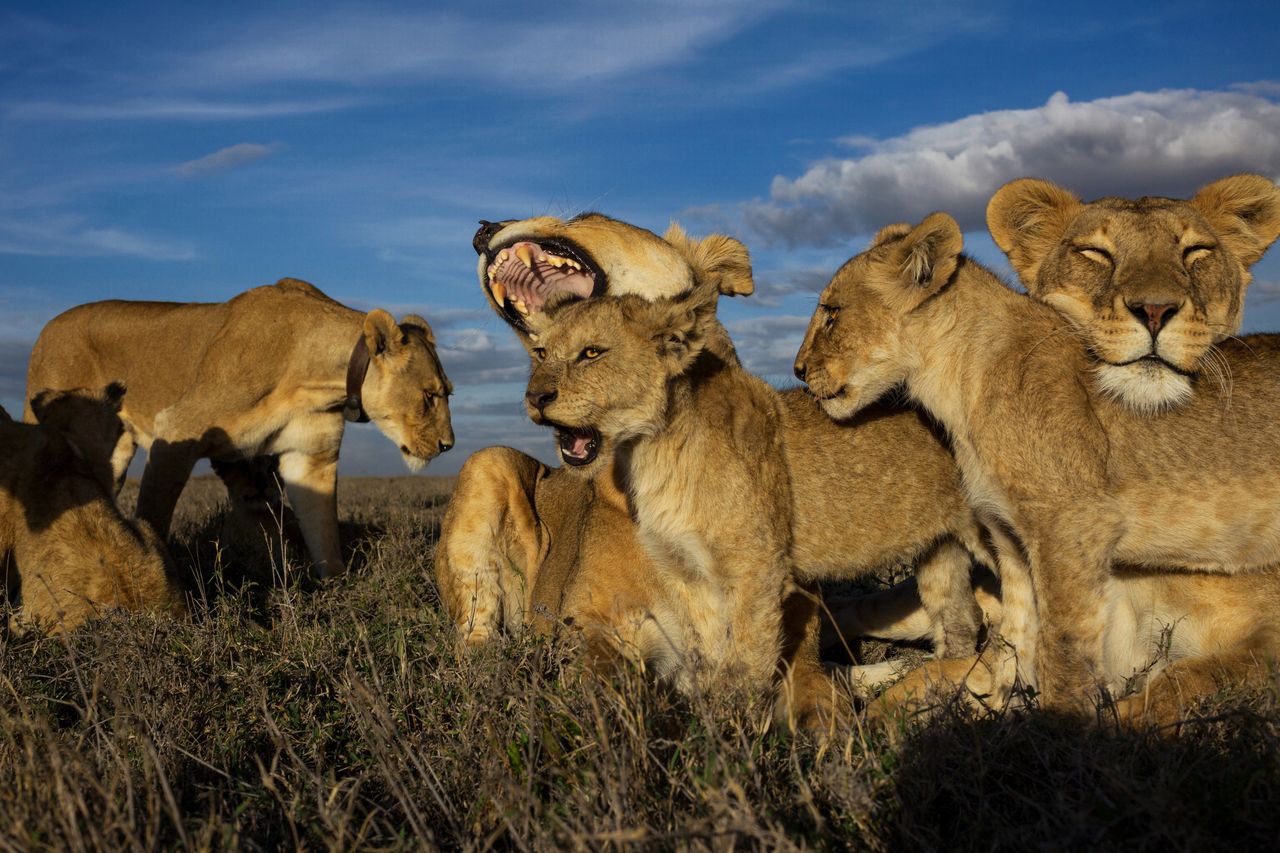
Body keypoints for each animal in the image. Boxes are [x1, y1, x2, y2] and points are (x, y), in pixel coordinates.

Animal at [24, 279, 458, 578]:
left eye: (447, 393)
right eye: (430, 396)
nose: (448, 445)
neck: (315, 378)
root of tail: (46, 328)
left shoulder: (310, 457)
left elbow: (323, 532)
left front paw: (337, 590)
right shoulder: (175, 431)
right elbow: (154, 515)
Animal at [793, 211, 1280, 712]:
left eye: (831, 313)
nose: (798, 369)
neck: (956, 383)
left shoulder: (1074, 527)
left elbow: (1065, 648)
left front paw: (1061, 722)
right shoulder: (1008, 535)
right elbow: (1016, 639)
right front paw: (1002, 708)